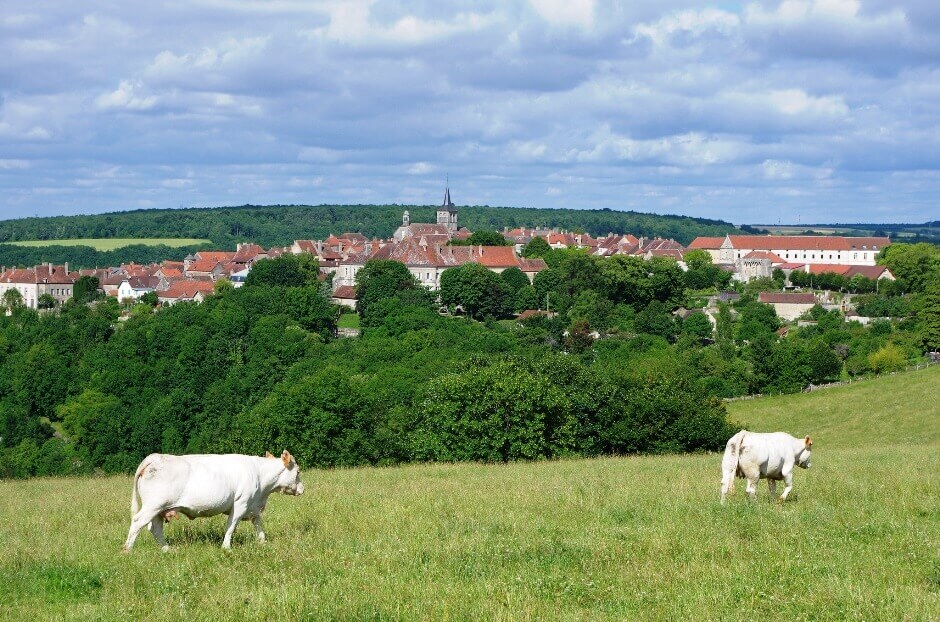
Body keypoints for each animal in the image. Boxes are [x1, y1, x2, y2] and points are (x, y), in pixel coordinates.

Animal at [122, 450, 304, 552]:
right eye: (298, 471)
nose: (302, 489)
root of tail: (154, 457)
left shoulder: (253, 506)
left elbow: (259, 525)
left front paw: (263, 543)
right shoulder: (241, 503)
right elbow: (231, 526)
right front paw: (226, 548)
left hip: (160, 510)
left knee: (155, 528)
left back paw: (167, 549)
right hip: (153, 505)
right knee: (138, 522)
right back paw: (127, 551)